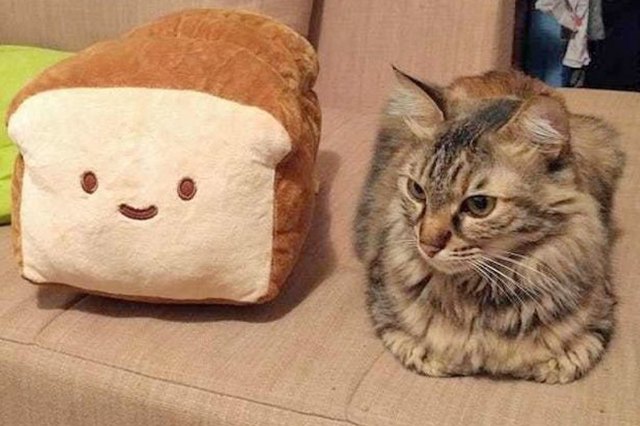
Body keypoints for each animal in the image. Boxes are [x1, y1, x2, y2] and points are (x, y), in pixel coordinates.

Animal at [352, 70, 624, 382]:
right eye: (417, 191)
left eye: (479, 205)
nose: (427, 245)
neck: (484, 294)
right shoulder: (384, 307)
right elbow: (423, 350)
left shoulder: (597, 321)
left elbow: (566, 357)